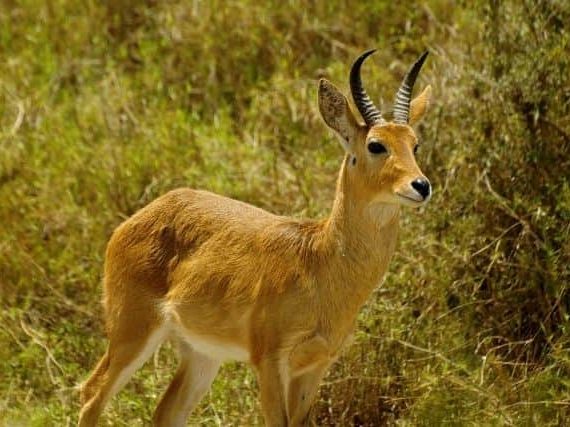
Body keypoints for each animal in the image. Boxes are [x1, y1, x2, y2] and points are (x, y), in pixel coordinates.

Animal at [76, 51, 430, 427]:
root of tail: (138, 218)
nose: (421, 185)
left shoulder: (314, 366)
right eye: (376, 145)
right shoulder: (270, 361)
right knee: (92, 394)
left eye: (415, 143)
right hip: (132, 330)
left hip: (201, 353)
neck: (320, 263)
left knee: (165, 412)